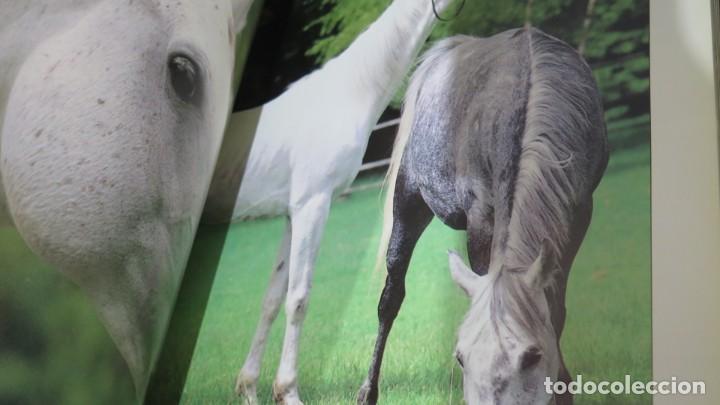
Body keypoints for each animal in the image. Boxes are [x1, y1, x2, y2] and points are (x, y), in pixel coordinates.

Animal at [199, 0, 457, 403]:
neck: (349, 92)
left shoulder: (292, 215)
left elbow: (272, 299)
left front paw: (249, 387)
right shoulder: (313, 205)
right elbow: (298, 299)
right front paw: (288, 391)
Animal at [357, 28, 608, 405]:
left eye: (532, 357)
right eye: (462, 358)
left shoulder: (578, 214)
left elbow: (555, 306)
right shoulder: (480, 219)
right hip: (409, 200)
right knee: (391, 297)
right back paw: (367, 390)